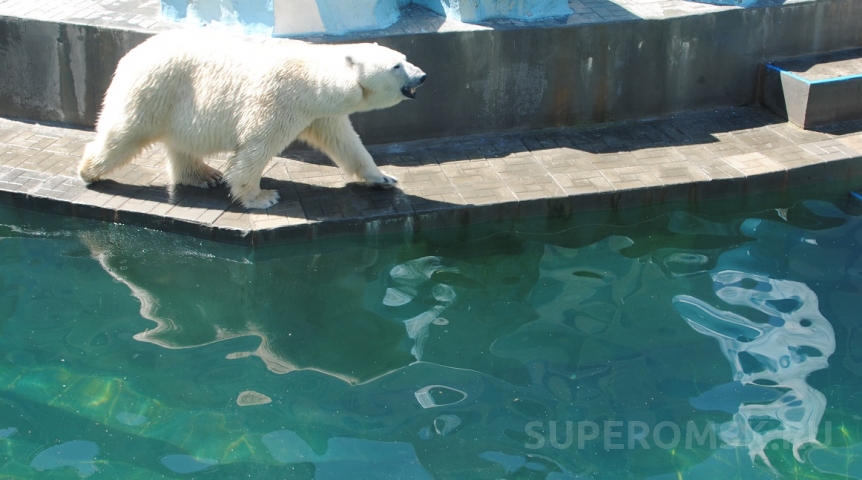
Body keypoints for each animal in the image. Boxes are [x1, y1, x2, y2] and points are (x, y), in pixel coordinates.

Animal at [79, 30, 430, 209]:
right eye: (397, 65)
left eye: (404, 58)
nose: (423, 75)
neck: (312, 79)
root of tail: (130, 54)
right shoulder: (278, 101)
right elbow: (256, 148)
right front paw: (261, 197)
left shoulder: (320, 113)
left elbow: (347, 143)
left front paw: (383, 178)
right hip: (154, 90)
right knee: (123, 133)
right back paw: (88, 171)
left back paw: (203, 175)